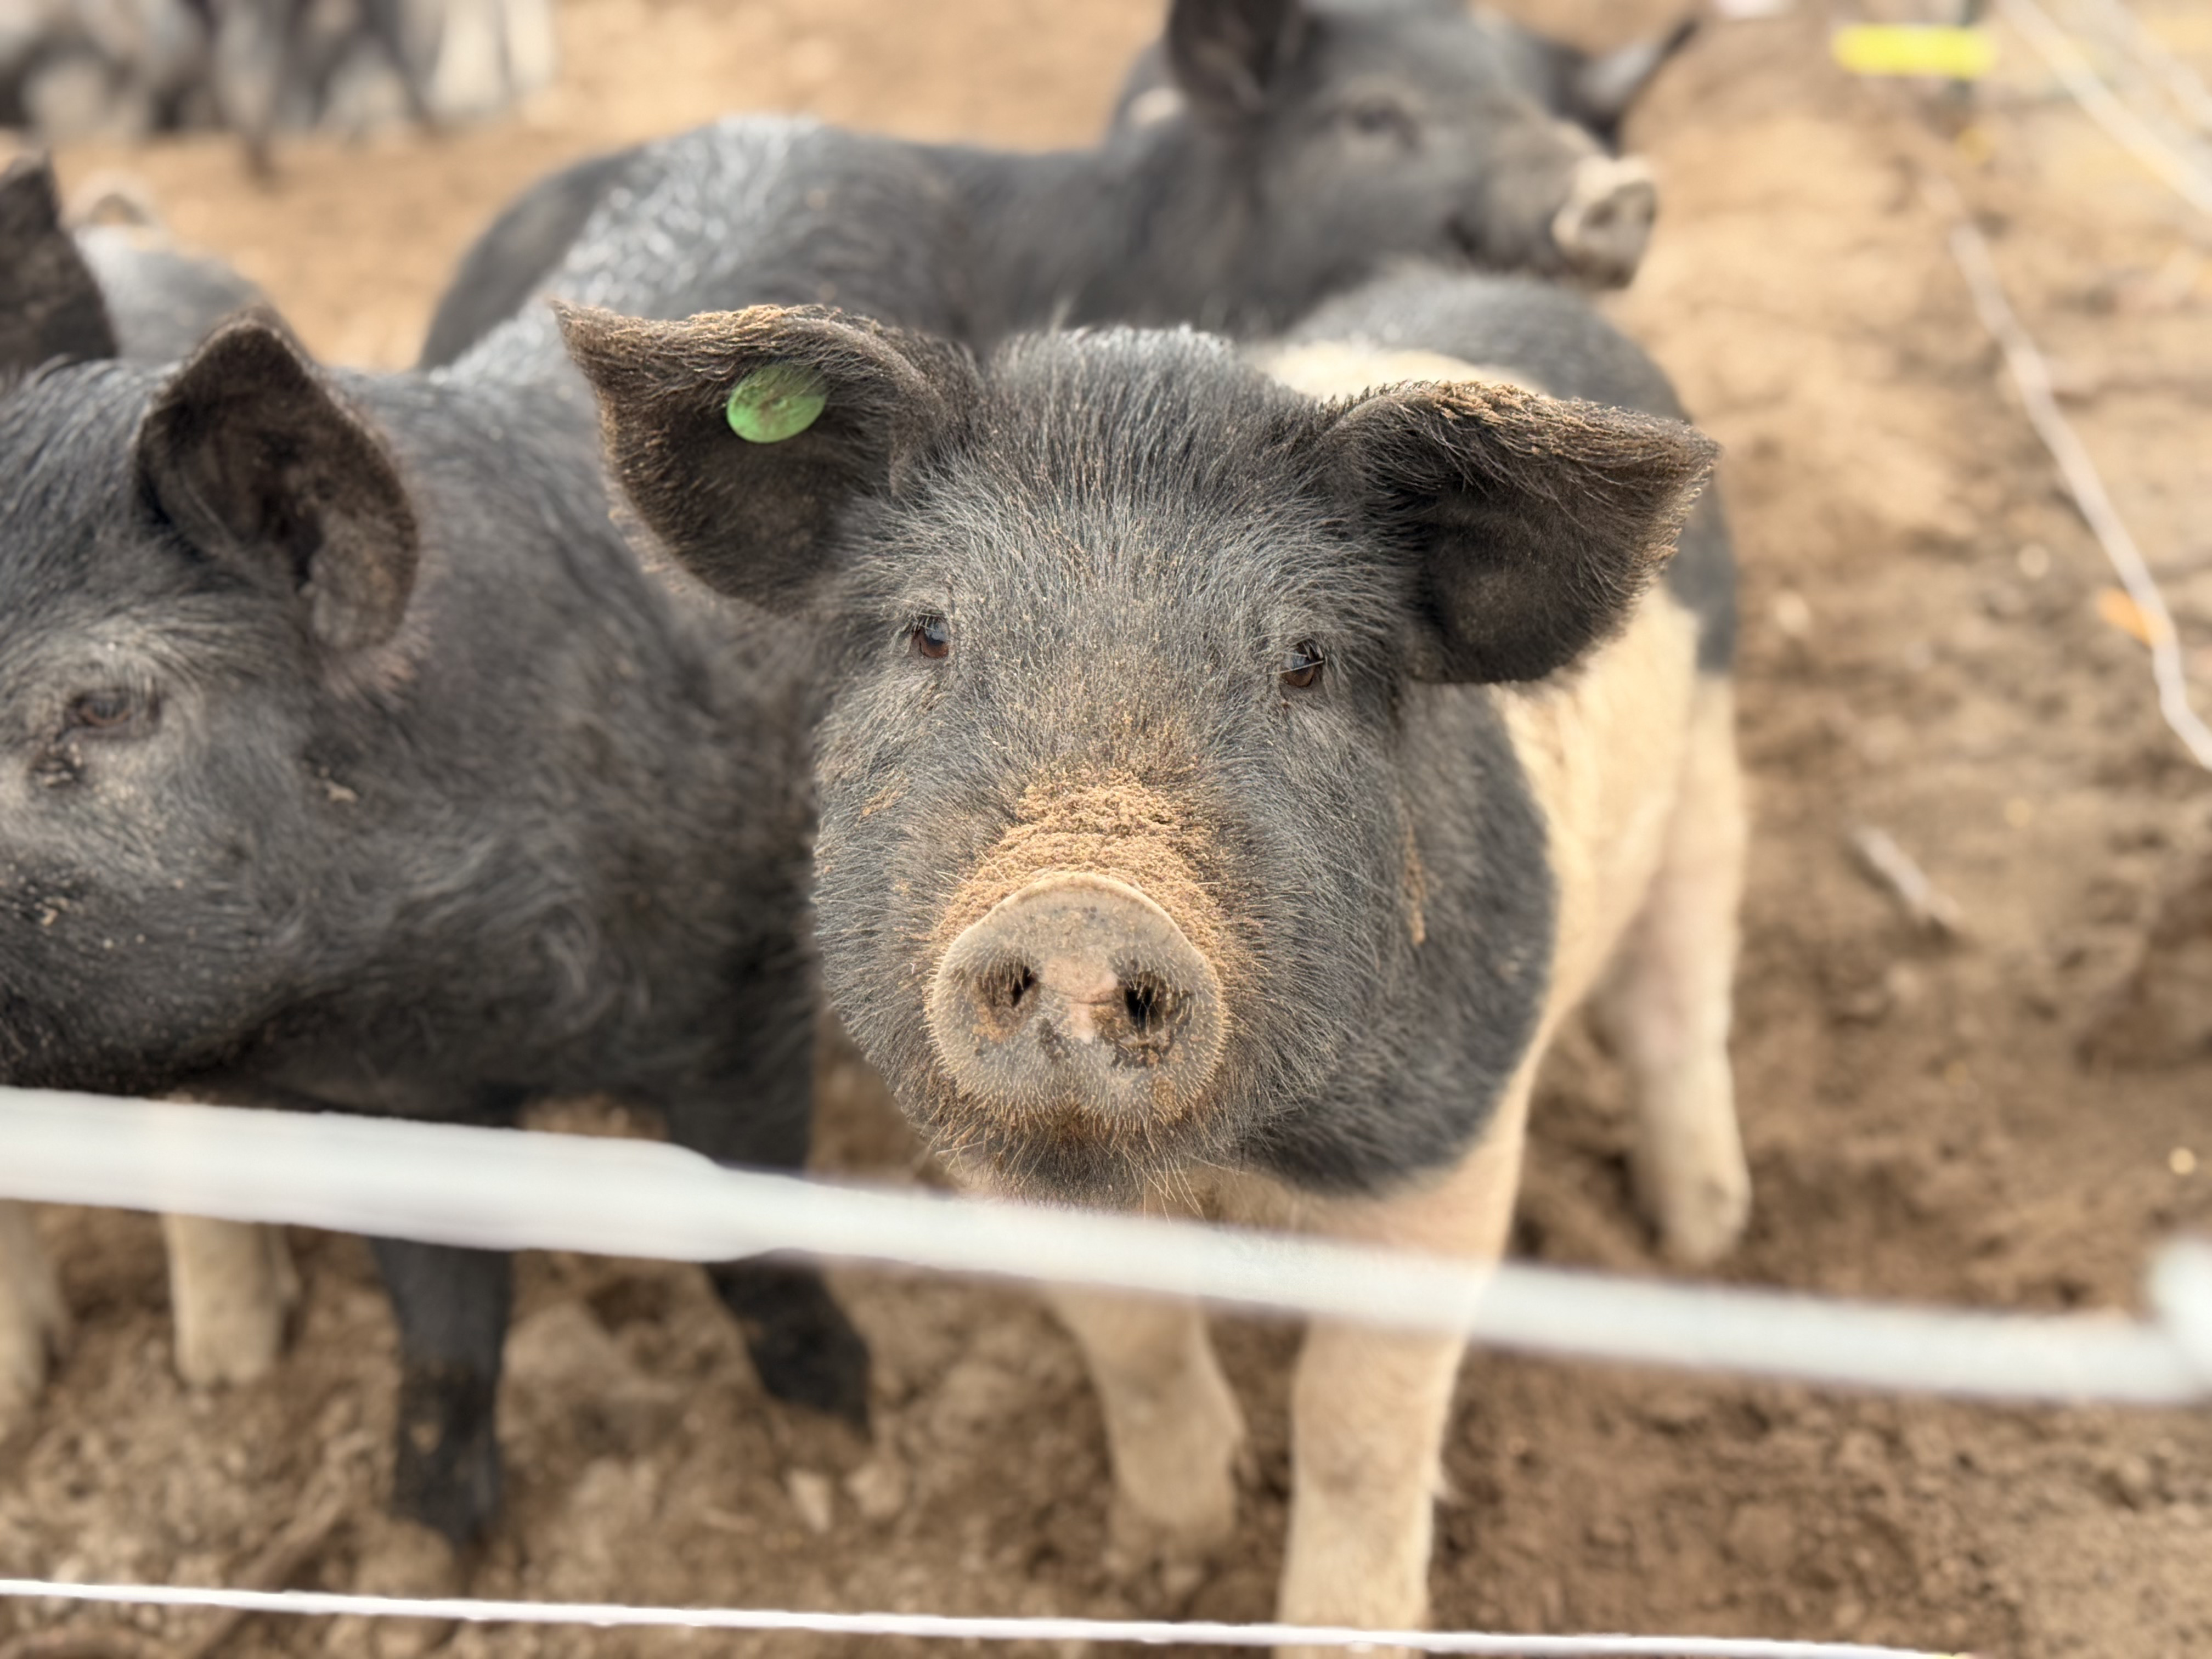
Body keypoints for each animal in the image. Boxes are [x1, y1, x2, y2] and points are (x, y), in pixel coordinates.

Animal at [0, 154, 866, 1550]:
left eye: (103, 707)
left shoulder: (750, 977)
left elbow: (748, 1232)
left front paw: (847, 1410)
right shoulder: (393, 1106)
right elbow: (445, 1319)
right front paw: (431, 1538)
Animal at [560, 266, 1750, 1641]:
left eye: (1305, 661)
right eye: (928, 633)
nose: (1081, 909)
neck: (1225, 1164)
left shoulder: (1447, 1144)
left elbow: (1358, 1426)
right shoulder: (1000, 1164)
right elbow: (1128, 1340)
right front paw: (1159, 1568)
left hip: (1708, 765)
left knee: (1682, 1001)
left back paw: (1704, 1238)